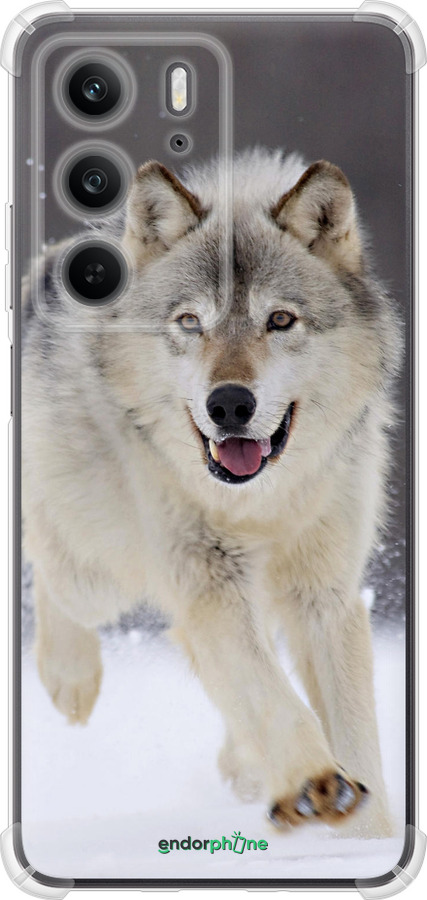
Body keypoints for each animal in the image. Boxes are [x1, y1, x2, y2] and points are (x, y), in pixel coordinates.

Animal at [22, 149, 401, 837]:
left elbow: (354, 733)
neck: (260, 503)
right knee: (49, 563)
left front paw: (369, 838)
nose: (228, 404)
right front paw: (314, 783)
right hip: (100, 573)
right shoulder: (208, 581)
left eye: (280, 320)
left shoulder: (324, 594)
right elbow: (271, 695)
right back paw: (71, 679)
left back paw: (246, 766)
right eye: (190, 323)